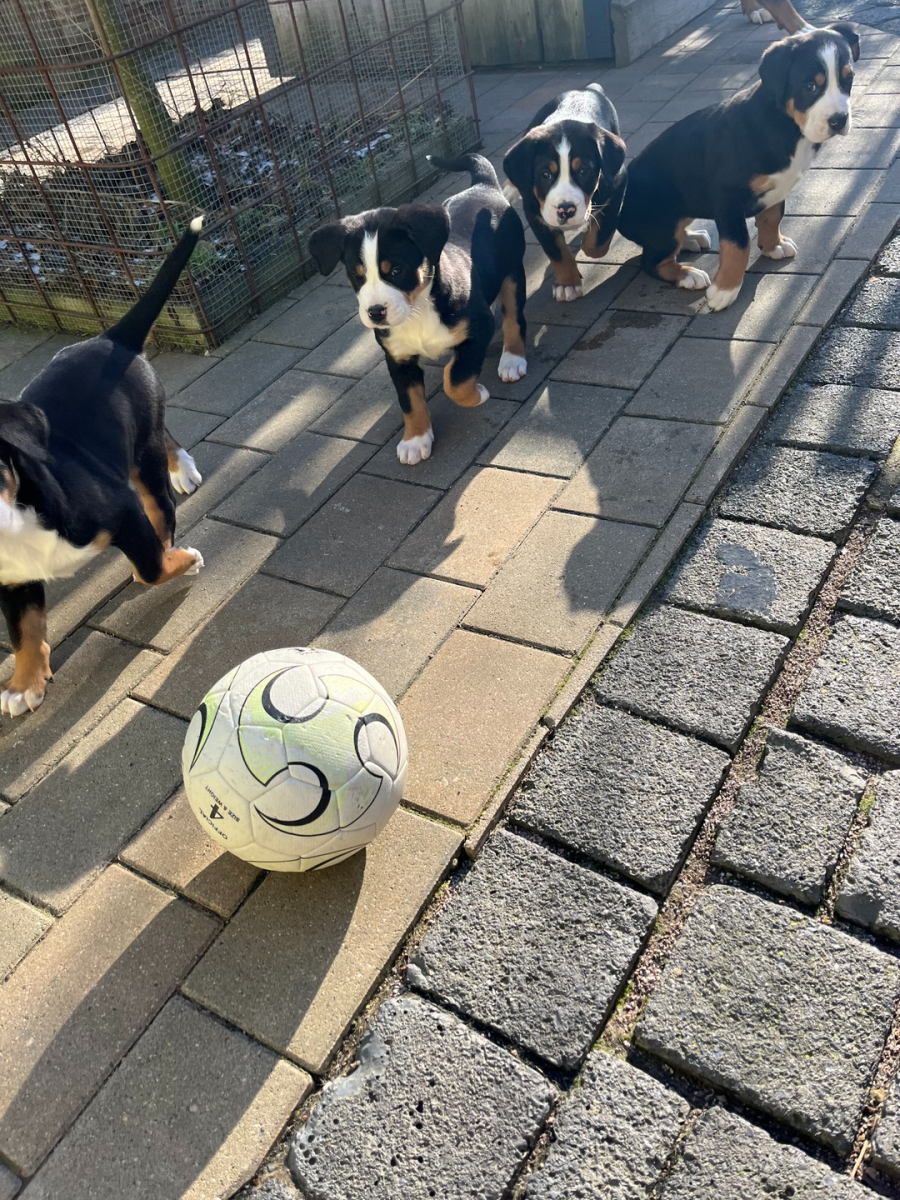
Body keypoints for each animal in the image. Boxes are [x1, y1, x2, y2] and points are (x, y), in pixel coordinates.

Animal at [0, 220, 205, 717]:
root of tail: (109, 338)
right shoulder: (12, 579)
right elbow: (24, 630)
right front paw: (23, 684)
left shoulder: (121, 510)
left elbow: (150, 566)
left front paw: (181, 560)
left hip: (142, 457)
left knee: (160, 504)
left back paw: (179, 484)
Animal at [308, 153, 527, 466]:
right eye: (356, 275)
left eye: (396, 270)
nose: (376, 312)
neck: (417, 310)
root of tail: (482, 186)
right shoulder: (397, 357)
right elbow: (410, 401)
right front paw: (415, 440)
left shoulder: (478, 327)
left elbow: (456, 379)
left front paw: (478, 394)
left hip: (512, 272)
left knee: (514, 318)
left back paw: (512, 360)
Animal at [502, 83, 626, 302]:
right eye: (545, 175)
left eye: (584, 171)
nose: (566, 210)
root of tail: (587, 90)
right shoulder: (535, 213)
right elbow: (557, 251)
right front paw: (567, 284)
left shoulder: (617, 185)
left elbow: (597, 243)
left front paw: (588, 236)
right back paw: (510, 188)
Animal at [616, 24, 859, 312]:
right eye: (810, 86)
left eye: (848, 79)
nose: (839, 120)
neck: (785, 126)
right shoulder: (727, 198)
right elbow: (738, 244)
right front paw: (725, 290)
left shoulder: (777, 188)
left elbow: (772, 216)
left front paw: (773, 245)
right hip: (662, 223)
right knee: (652, 261)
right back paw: (687, 274)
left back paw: (691, 238)